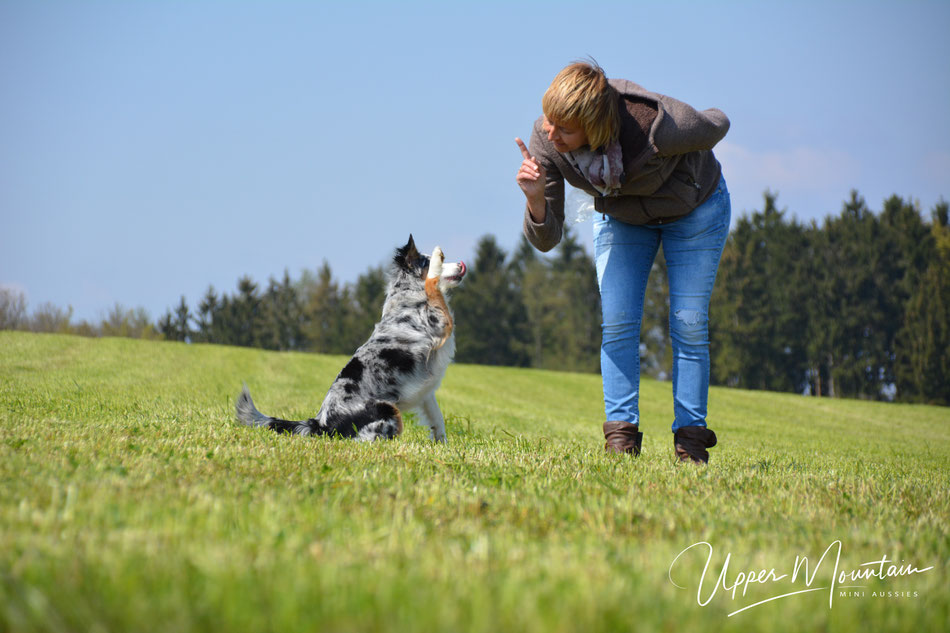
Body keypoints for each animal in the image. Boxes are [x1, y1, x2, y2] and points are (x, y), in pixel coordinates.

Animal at [234, 235, 464, 442]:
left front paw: (441, 444)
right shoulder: (440, 322)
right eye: (430, 262)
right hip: (387, 410)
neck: (408, 295)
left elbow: (437, 419)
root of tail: (320, 423)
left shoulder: (426, 390)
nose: (460, 265)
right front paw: (436, 259)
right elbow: (432, 282)